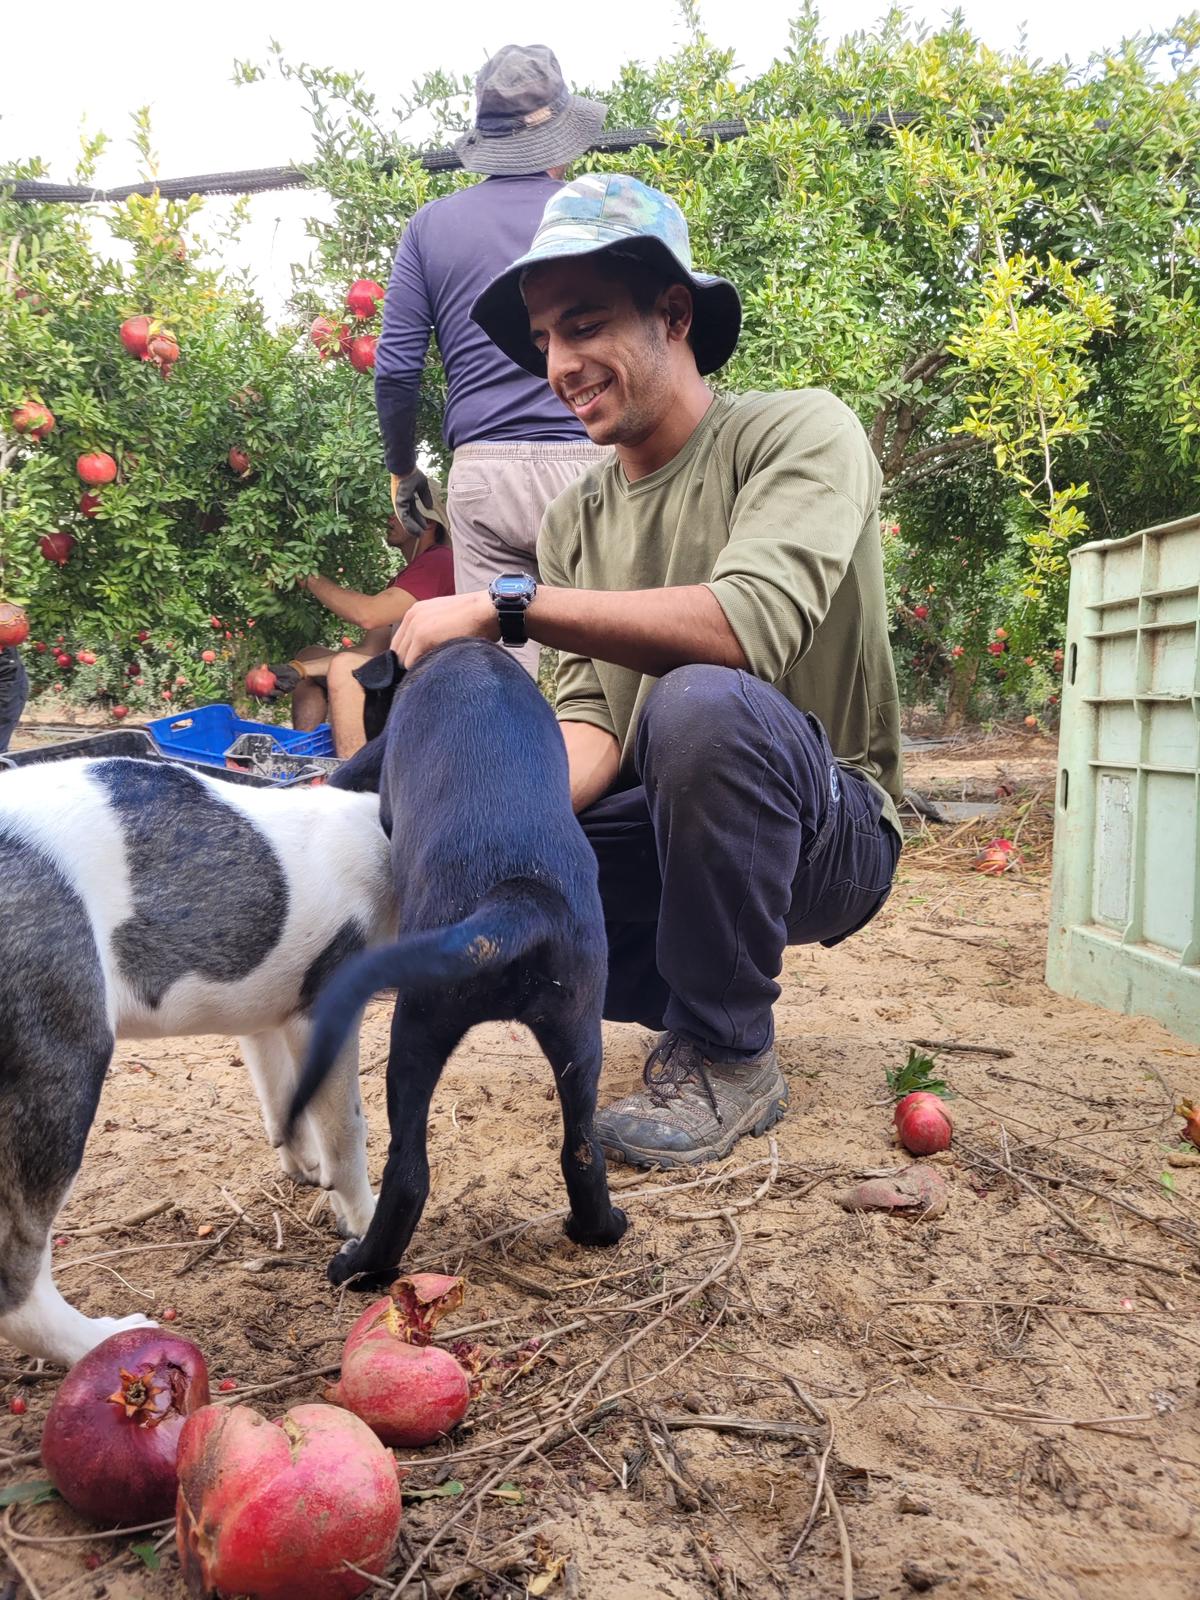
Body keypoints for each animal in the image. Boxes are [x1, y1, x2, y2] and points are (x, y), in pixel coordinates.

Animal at [0, 758, 396, 1363]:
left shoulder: (265, 1020)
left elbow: (284, 1101)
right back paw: (103, 1339)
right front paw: (364, 1222)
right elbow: (347, 1131)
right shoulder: (325, 1013)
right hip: (60, 1072)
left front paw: (305, 1168)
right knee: (16, 1274)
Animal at [294, 636, 630, 1286]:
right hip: (579, 1026)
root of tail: (520, 894)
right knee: (581, 1150)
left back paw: (361, 1268)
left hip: (416, 1029)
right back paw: (598, 1229)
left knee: (408, 1173)